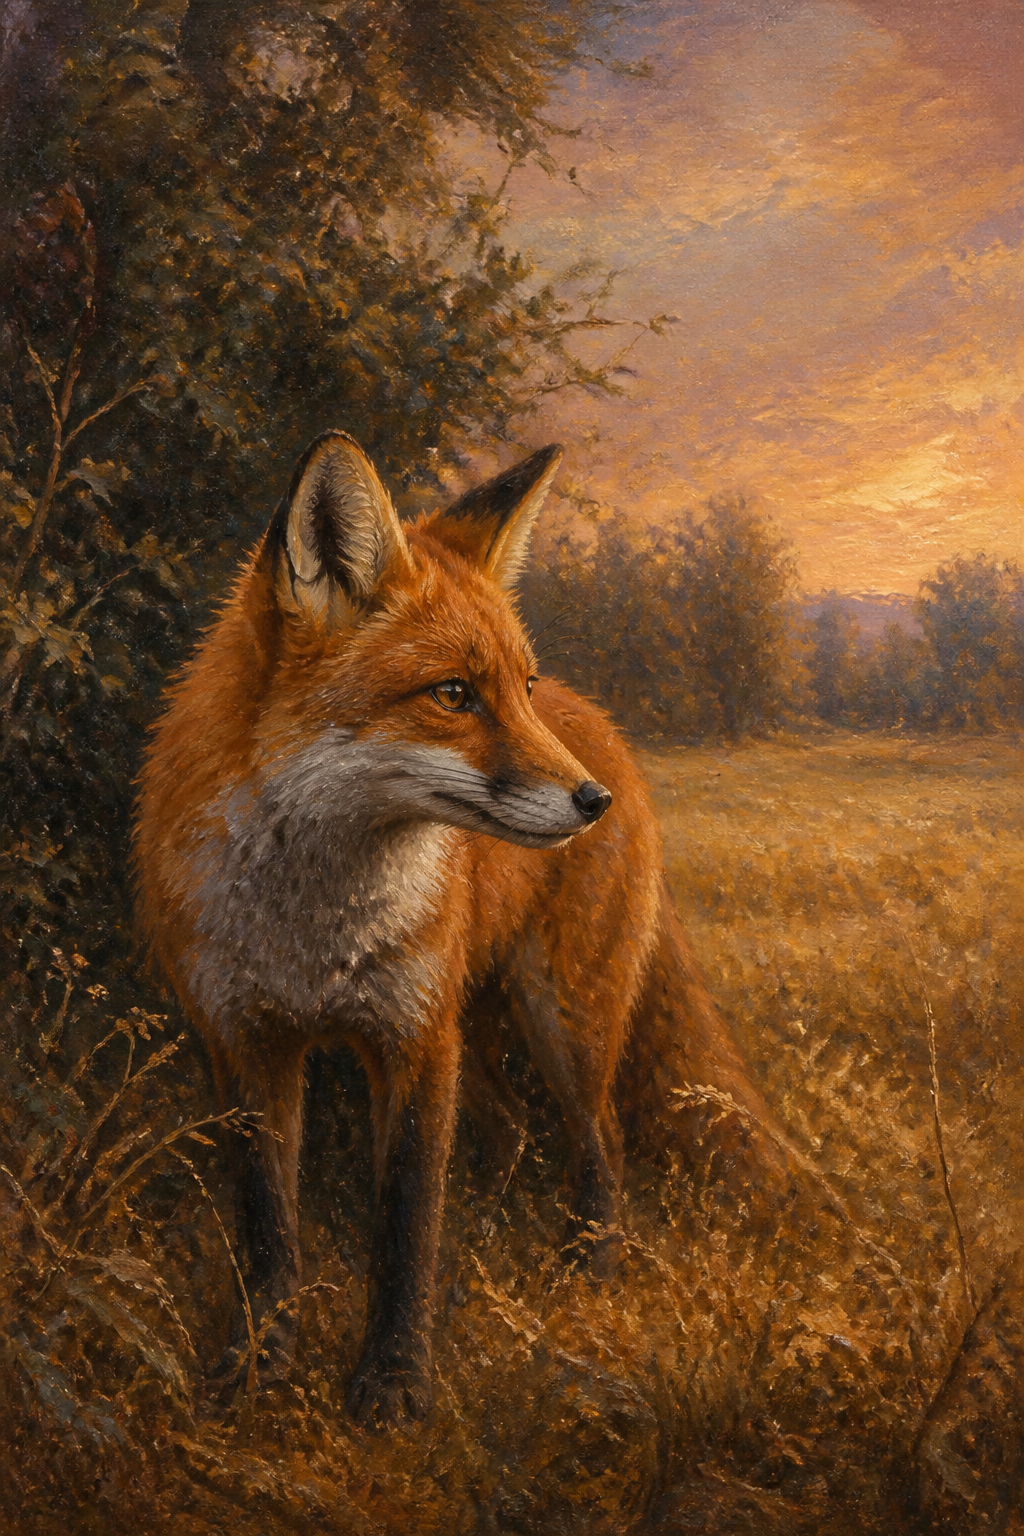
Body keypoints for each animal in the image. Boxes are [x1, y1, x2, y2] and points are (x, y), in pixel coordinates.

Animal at [134, 431, 775, 1427]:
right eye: (453, 694)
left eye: (518, 685)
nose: (591, 801)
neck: (315, 927)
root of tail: (600, 725)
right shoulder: (244, 1044)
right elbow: (269, 1227)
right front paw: (255, 1365)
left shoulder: (410, 1039)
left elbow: (405, 1225)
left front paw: (396, 1387)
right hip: (478, 1026)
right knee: (509, 1134)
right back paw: (492, 1244)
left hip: (560, 1017)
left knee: (600, 1137)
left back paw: (585, 1269)